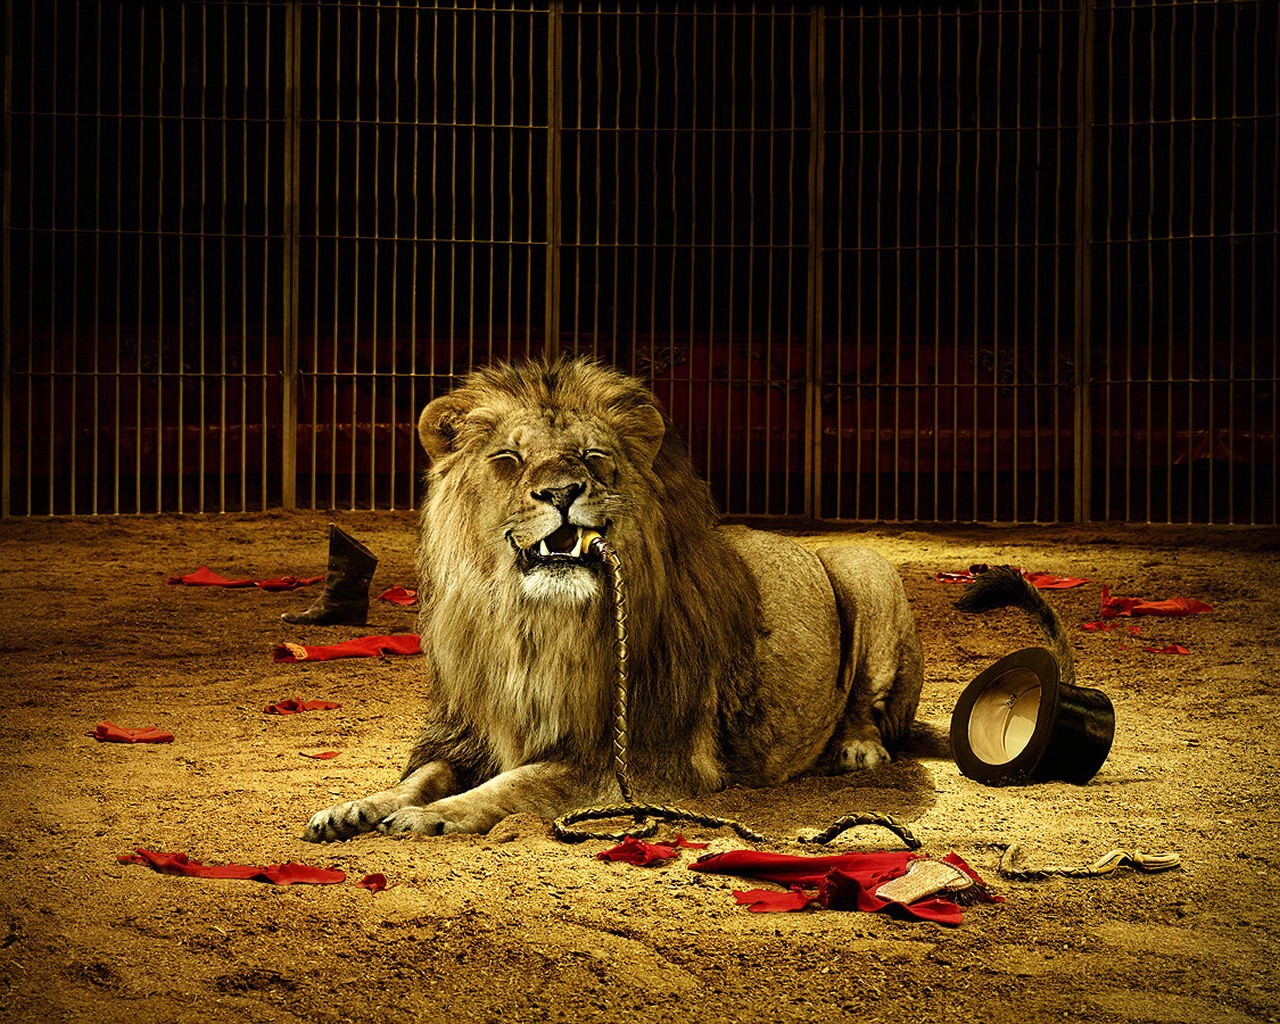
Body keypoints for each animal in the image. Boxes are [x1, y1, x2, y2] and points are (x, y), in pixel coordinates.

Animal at [303, 356, 923, 842]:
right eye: (508, 459)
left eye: (593, 455)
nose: (561, 492)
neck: (534, 626)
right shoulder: (468, 732)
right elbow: (419, 778)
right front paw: (356, 808)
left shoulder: (639, 760)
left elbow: (515, 785)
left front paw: (433, 816)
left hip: (865, 568)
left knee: (869, 703)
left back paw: (857, 750)